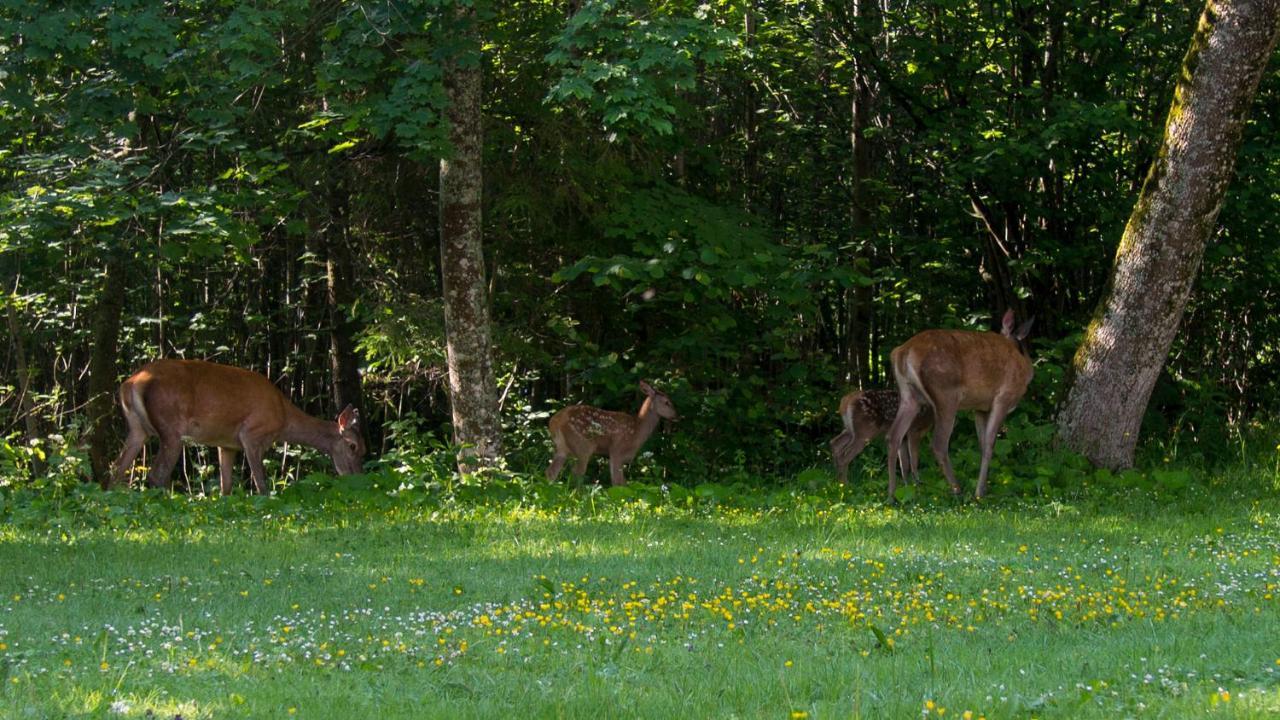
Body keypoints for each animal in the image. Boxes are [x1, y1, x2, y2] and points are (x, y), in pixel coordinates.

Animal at [110, 358, 366, 491]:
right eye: (353, 446)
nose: (357, 478)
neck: (284, 417)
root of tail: (132, 382)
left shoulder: (227, 444)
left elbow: (226, 486)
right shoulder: (252, 433)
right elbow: (261, 483)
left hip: (137, 428)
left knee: (116, 468)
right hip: (170, 426)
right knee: (156, 476)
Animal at [542, 379, 675, 484]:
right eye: (667, 402)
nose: (677, 416)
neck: (637, 430)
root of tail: (555, 421)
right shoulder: (617, 449)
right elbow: (618, 482)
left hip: (561, 447)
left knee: (551, 471)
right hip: (583, 445)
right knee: (576, 473)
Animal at [885, 308, 1034, 499]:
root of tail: (902, 352)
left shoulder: (980, 408)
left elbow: (981, 443)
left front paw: (983, 489)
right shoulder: (1003, 397)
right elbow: (990, 444)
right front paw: (979, 493)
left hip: (909, 396)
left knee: (894, 436)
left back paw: (894, 494)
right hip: (946, 394)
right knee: (938, 443)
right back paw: (957, 490)